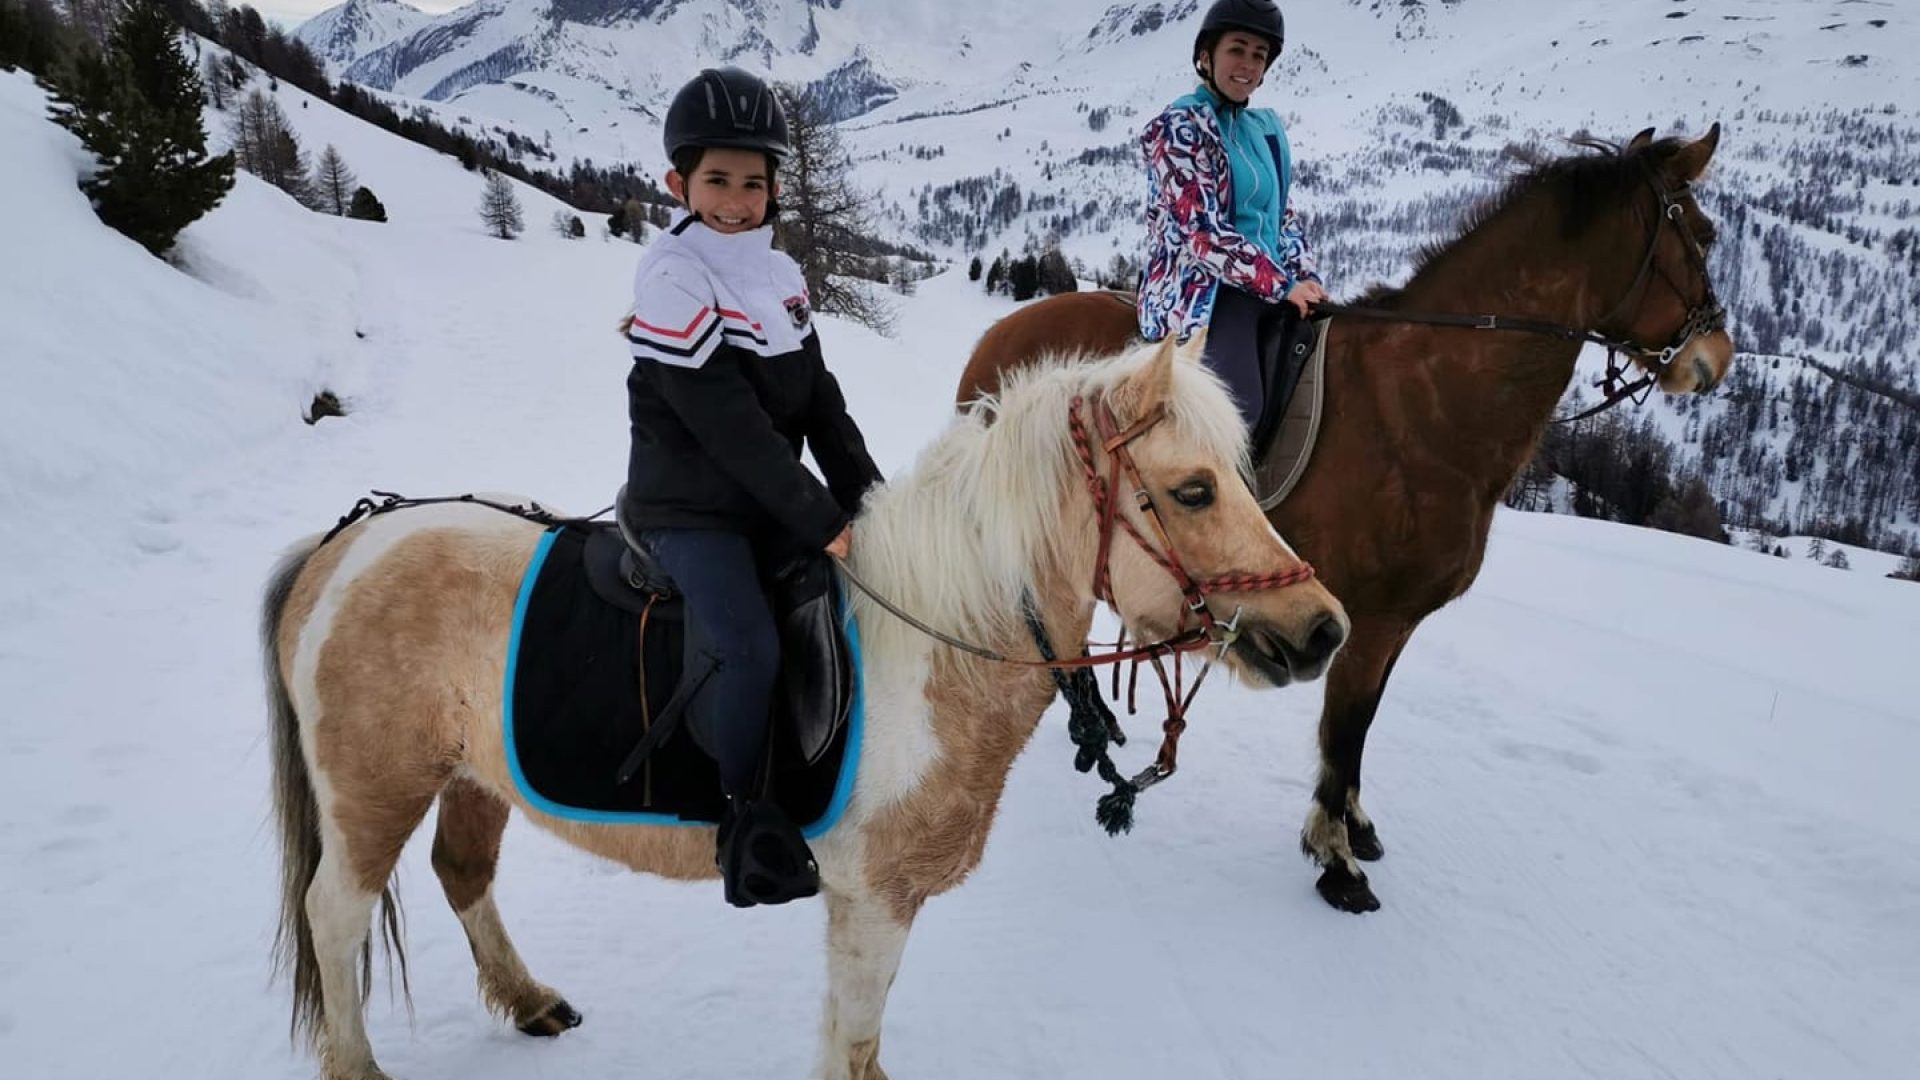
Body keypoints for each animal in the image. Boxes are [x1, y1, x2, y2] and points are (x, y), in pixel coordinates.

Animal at [263, 334, 1351, 1076]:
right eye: (1195, 490)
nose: (1323, 629)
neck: (933, 640)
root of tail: (342, 543)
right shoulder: (874, 901)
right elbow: (854, 1050)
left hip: (470, 774)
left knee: (462, 874)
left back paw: (530, 1000)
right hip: (373, 790)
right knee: (335, 916)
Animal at [956, 127, 1743, 914]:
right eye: (1702, 236)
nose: (1715, 359)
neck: (1425, 401)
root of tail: (1000, 334)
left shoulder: (1394, 623)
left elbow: (1361, 729)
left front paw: (1354, 827)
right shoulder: (1371, 617)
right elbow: (1346, 727)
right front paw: (1336, 860)